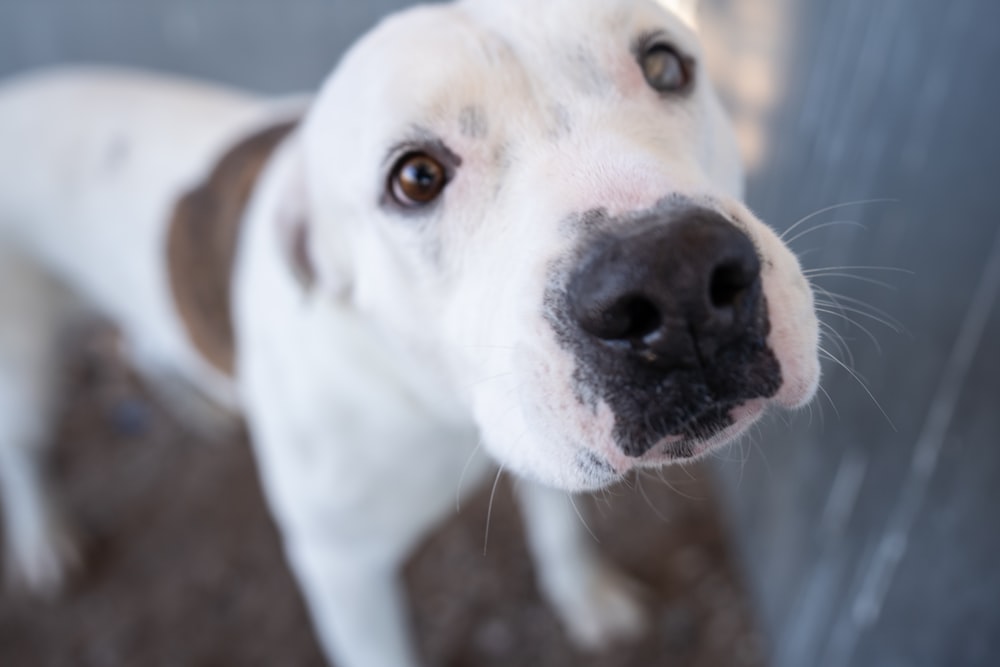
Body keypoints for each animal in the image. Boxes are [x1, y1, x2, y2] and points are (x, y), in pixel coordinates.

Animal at [0, 0, 820, 664]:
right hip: (24, 370)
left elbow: (559, 525)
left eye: (664, 64)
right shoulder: (342, 569)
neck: (435, 401)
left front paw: (583, 595)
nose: (674, 282)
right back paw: (44, 536)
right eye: (416, 178)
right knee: (25, 445)